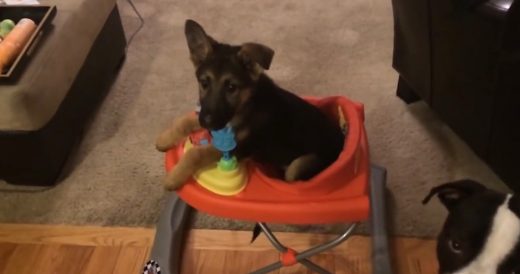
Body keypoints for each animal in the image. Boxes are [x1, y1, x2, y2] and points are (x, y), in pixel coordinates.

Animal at [157, 19, 346, 191]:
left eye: (231, 87)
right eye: (204, 83)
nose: (207, 123)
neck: (246, 107)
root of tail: (341, 141)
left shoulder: (238, 148)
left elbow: (196, 153)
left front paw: (174, 176)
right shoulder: (214, 118)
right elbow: (184, 121)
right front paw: (164, 139)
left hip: (300, 165)